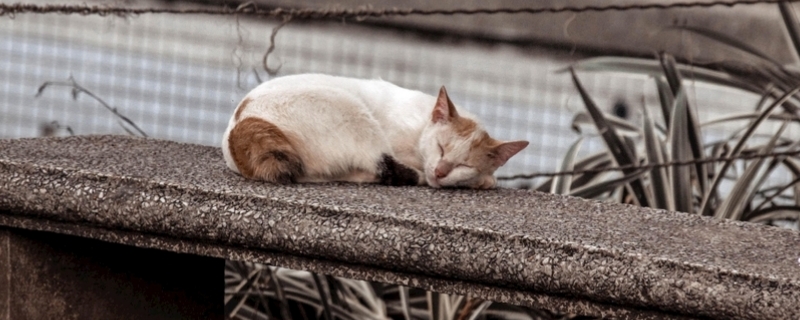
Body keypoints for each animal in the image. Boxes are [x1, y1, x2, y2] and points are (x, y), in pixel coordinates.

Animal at [222, 74, 528, 189]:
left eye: (465, 164)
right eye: (440, 147)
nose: (441, 172)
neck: (421, 124)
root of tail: (242, 122)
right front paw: (484, 181)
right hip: (355, 115)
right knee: (384, 166)